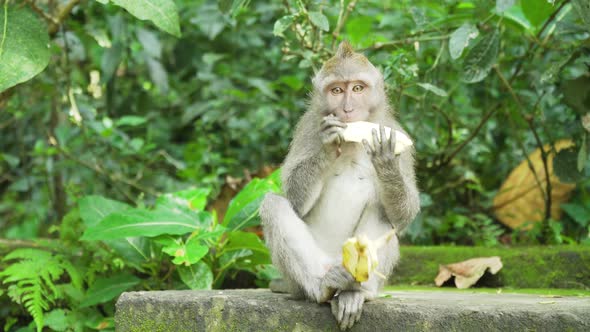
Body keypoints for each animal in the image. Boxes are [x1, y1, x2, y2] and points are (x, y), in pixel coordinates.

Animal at [260, 41, 420, 330]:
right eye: (336, 90)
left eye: (357, 88)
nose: (347, 109)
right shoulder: (307, 128)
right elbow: (295, 201)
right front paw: (328, 145)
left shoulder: (396, 133)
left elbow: (405, 213)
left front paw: (387, 163)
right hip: (310, 271)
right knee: (273, 204)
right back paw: (323, 287)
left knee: (383, 211)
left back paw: (355, 293)